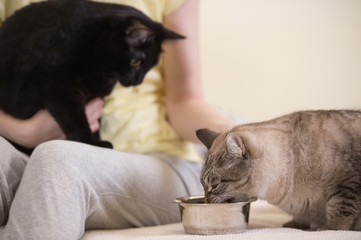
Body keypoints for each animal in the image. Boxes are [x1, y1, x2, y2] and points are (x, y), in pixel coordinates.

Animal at [0, 0, 183, 154]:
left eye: (150, 67)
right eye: (135, 62)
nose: (138, 81)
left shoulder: (96, 96)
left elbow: (96, 125)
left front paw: (97, 141)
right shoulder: (57, 88)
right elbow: (76, 120)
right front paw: (91, 143)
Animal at [197, 110, 360, 231]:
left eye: (214, 186)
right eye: (203, 186)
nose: (206, 201)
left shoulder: (348, 183)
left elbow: (339, 209)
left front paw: (329, 229)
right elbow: (301, 218)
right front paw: (295, 225)